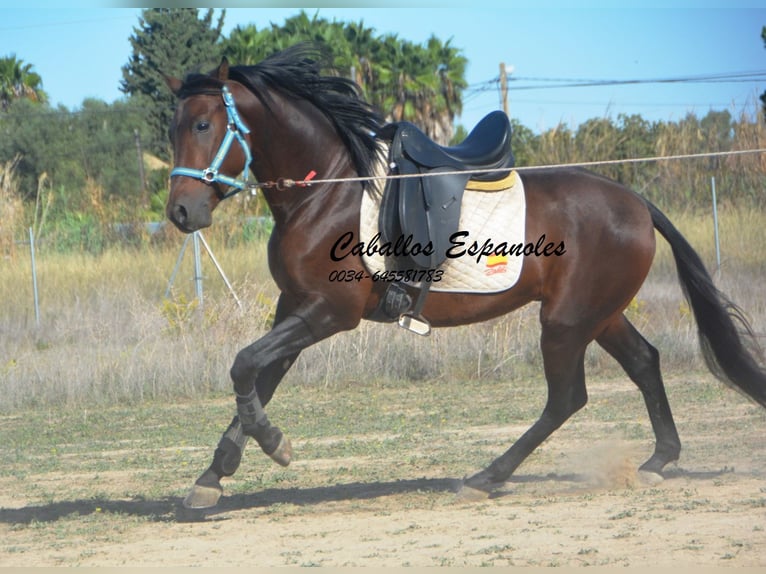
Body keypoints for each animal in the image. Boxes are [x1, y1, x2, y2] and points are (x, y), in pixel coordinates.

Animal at [164, 46, 766, 512]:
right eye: (172, 129)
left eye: (203, 125)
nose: (180, 213)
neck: (330, 189)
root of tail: (636, 202)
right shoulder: (294, 307)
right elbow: (259, 377)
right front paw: (215, 475)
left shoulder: (327, 313)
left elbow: (245, 365)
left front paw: (272, 444)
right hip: (600, 315)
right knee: (644, 363)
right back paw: (659, 461)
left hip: (567, 321)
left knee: (566, 398)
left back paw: (486, 477)